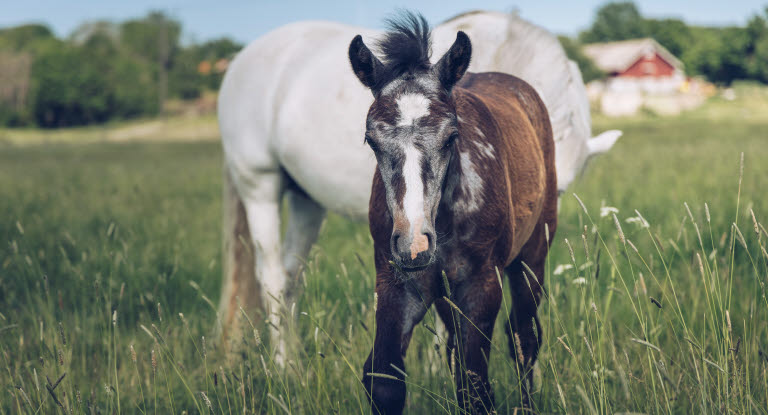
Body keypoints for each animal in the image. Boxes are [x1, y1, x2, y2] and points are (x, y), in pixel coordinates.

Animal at [214, 8, 616, 354]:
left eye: (556, 190)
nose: (531, 231)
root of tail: (241, 60)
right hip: (259, 186)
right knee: (271, 278)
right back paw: (285, 367)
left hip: (306, 201)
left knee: (289, 276)